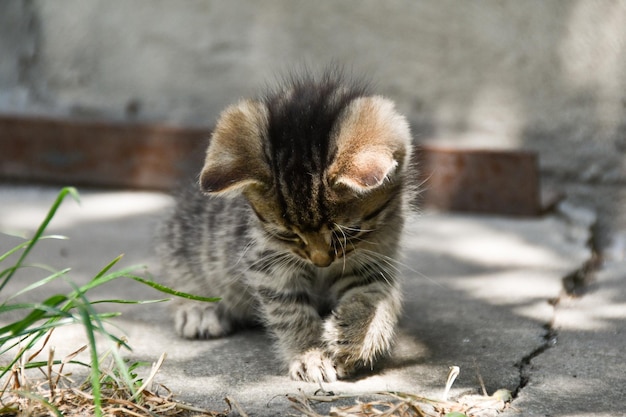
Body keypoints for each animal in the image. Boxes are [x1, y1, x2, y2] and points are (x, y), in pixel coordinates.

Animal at [158, 70, 412, 382]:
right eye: (287, 234)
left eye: (349, 233)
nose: (321, 261)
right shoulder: (267, 263)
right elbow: (289, 311)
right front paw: (310, 354)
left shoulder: (377, 256)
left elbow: (375, 295)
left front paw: (355, 335)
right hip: (186, 242)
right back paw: (197, 309)